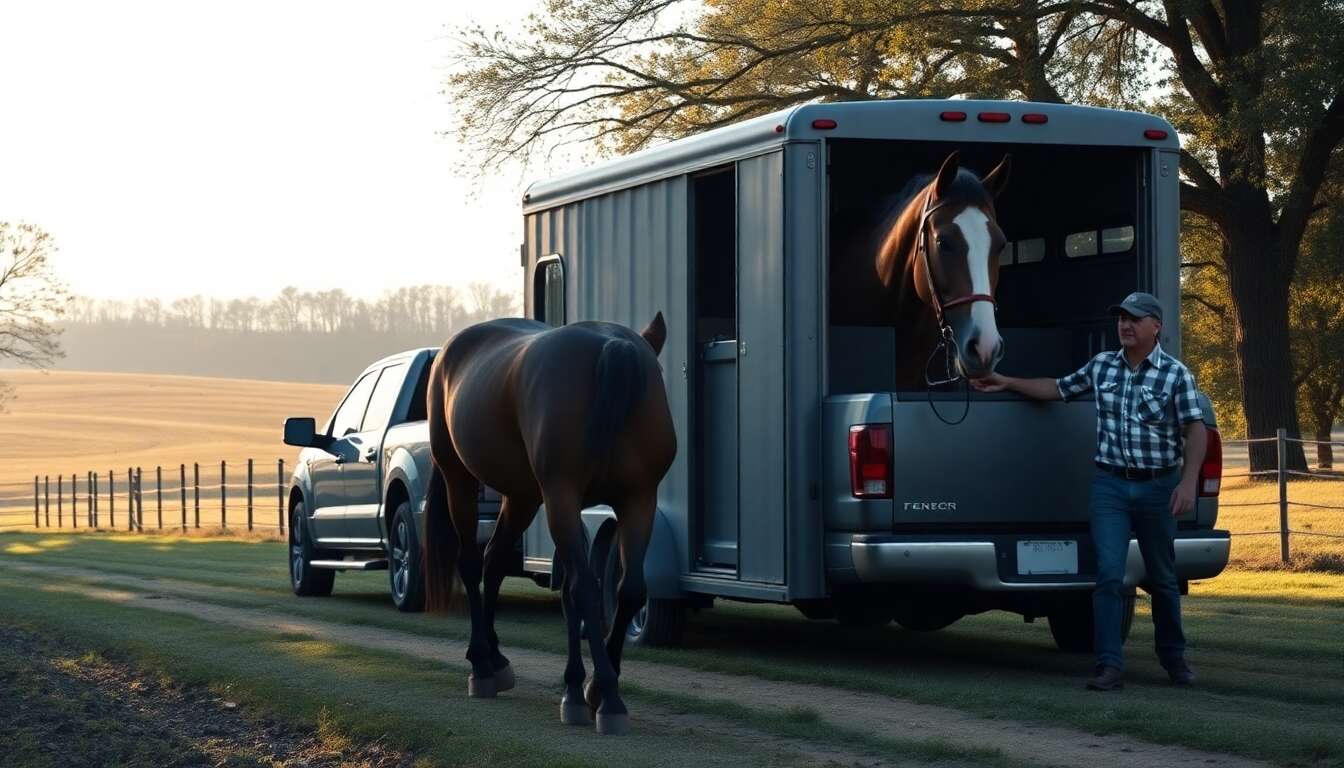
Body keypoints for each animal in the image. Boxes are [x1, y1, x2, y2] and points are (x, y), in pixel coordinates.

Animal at [421, 312, 676, 736]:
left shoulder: (637, 501)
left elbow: (626, 591)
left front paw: (587, 687)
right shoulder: (566, 499)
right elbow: (582, 590)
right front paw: (597, 691)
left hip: (524, 497)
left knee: (494, 561)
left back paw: (496, 661)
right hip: (460, 480)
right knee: (472, 564)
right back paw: (481, 665)